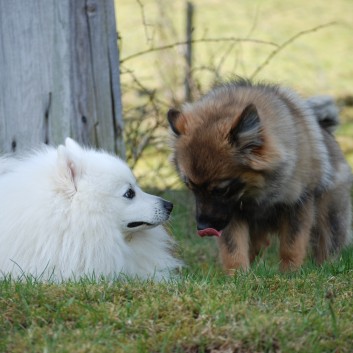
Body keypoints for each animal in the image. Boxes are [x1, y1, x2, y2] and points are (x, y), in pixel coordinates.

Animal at [166, 79, 350, 272]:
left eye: (221, 190)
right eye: (191, 187)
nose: (202, 226)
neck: (256, 194)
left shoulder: (297, 204)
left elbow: (292, 245)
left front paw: (289, 272)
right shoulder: (233, 213)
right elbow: (233, 247)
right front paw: (238, 273)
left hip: (330, 217)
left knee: (328, 243)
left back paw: (325, 267)